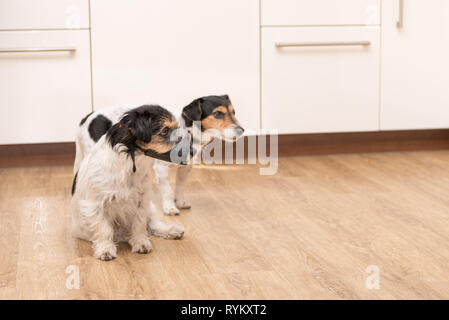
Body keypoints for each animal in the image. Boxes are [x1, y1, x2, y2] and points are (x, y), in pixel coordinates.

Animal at [71, 105, 190, 260]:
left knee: (154, 225)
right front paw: (105, 249)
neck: (130, 160)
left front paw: (140, 243)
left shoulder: (142, 200)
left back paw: (172, 230)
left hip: (150, 208)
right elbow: (103, 228)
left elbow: (139, 224)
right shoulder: (95, 204)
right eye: (165, 130)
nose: (191, 151)